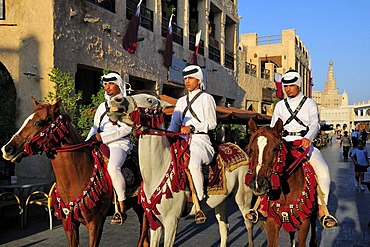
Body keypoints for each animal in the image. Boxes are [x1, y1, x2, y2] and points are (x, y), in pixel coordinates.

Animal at [1, 98, 149, 247]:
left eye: (38, 123)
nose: (7, 149)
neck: (76, 176)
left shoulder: (95, 223)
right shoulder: (69, 223)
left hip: (142, 206)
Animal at [107, 93, 254, 246]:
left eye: (149, 100)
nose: (116, 100)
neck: (158, 169)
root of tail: (241, 150)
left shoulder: (171, 221)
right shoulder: (155, 222)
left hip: (243, 198)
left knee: (248, 224)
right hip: (221, 201)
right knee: (224, 227)